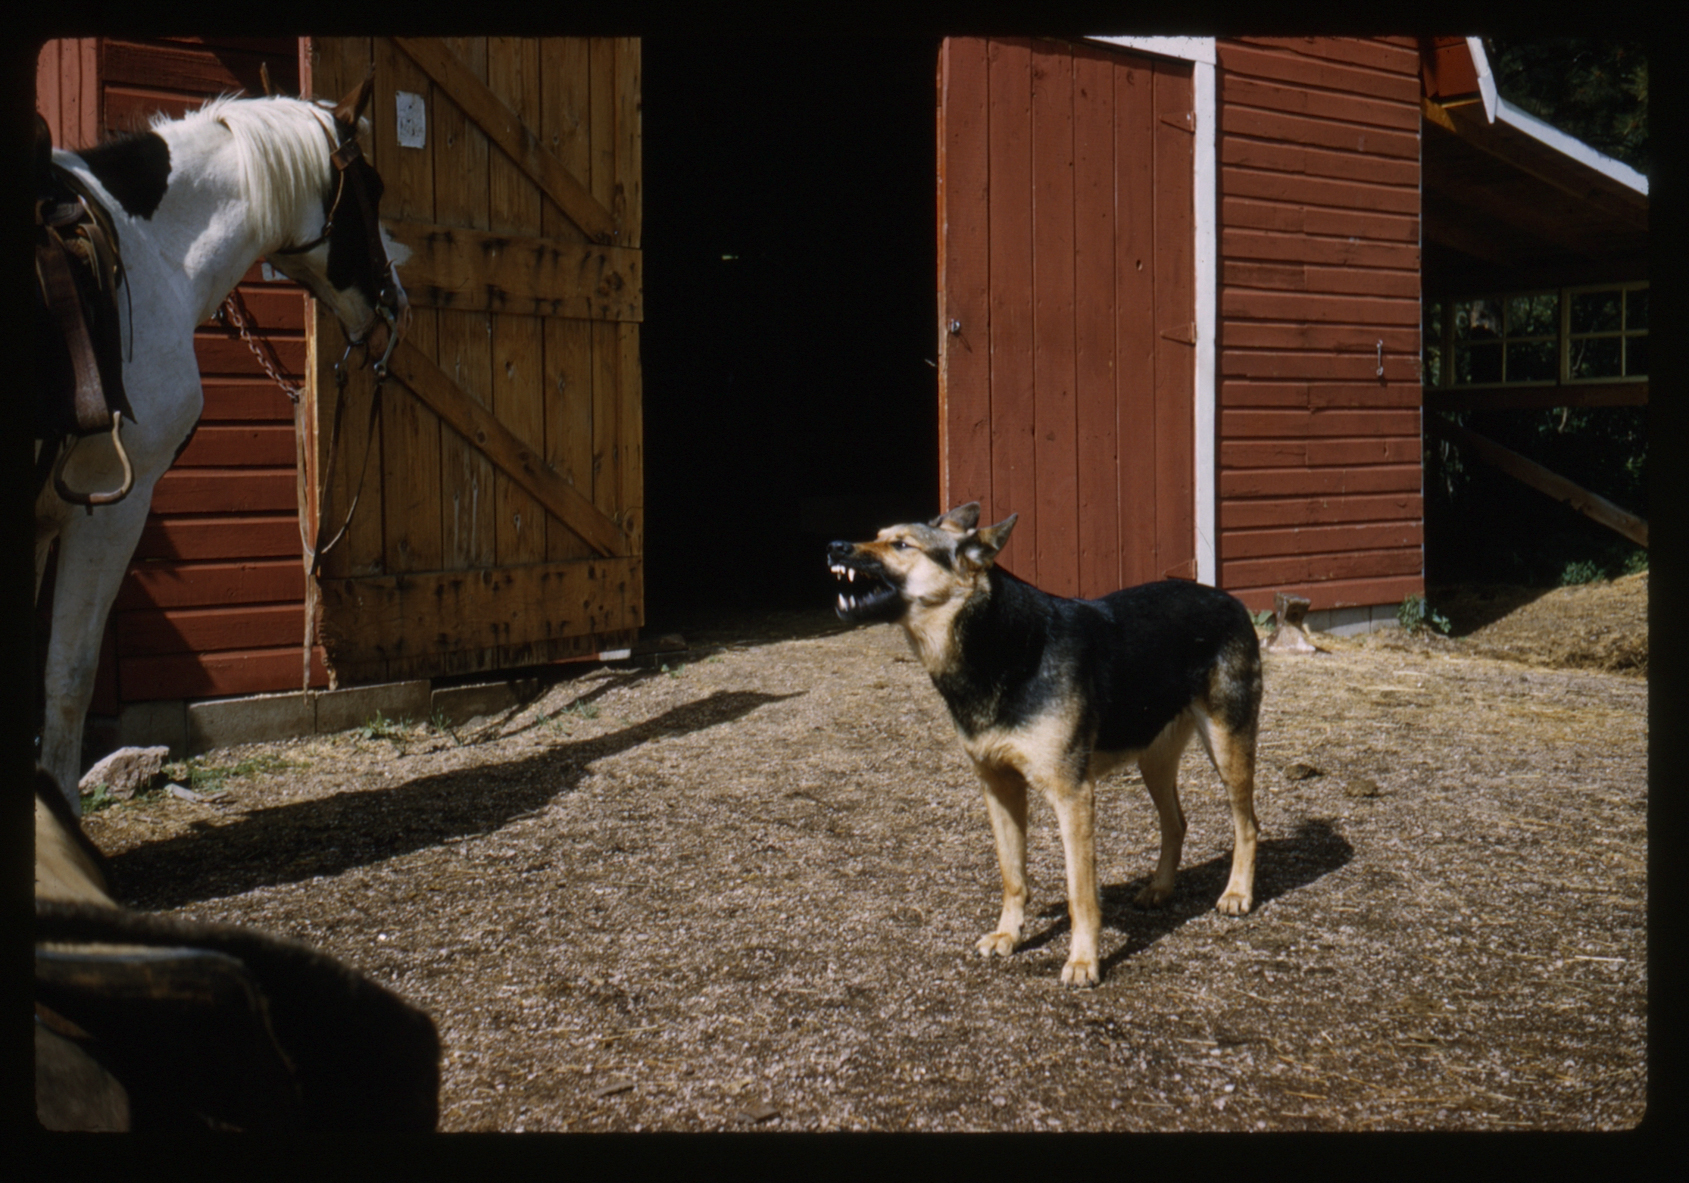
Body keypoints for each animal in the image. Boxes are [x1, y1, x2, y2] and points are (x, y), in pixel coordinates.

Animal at [827, 503, 1263, 987]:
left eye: (901, 544)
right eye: (879, 535)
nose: (834, 546)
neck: (998, 644)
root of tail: (1227, 598)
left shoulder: (1072, 796)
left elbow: (1080, 894)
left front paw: (1083, 961)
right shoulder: (999, 789)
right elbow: (1013, 876)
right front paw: (1008, 936)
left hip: (1227, 747)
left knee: (1247, 825)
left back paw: (1237, 893)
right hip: (1154, 759)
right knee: (1177, 823)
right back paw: (1160, 888)